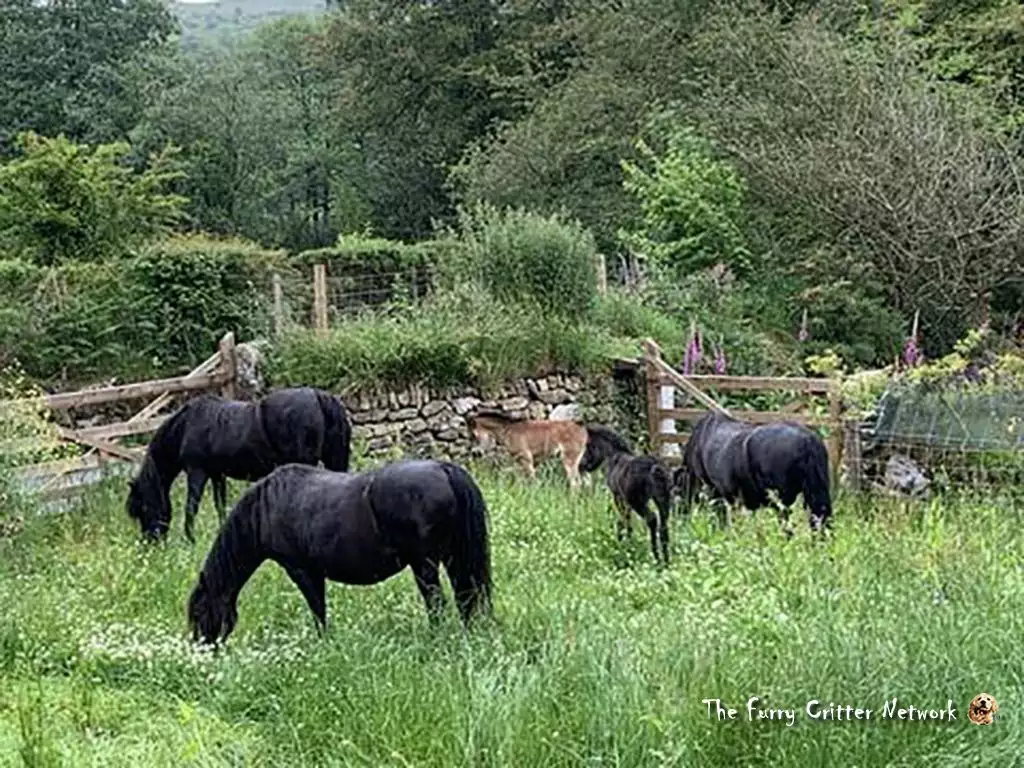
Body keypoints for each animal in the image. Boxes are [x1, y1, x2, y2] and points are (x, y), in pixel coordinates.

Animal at [127, 386, 352, 542]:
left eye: (142, 508)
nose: (151, 543)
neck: (186, 426)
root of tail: (319, 396)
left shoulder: (197, 472)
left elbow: (191, 507)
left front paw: (190, 539)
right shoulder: (217, 474)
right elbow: (220, 505)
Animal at [186, 460, 492, 645]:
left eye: (199, 611)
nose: (202, 647)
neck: (266, 507)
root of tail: (442, 468)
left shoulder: (300, 570)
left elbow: (317, 609)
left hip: (424, 564)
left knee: (438, 603)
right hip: (453, 558)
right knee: (466, 596)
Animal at [579, 424, 672, 565]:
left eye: (588, 445)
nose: (581, 465)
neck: (615, 456)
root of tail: (656, 466)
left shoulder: (619, 497)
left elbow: (624, 520)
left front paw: (624, 543)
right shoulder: (626, 500)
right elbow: (626, 520)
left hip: (638, 502)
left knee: (652, 519)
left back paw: (656, 557)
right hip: (663, 501)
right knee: (664, 527)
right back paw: (666, 561)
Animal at [676, 410, 832, 535]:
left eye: (674, 490)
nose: (679, 518)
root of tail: (808, 440)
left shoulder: (714, 493)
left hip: (783, 502)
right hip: (817, 496)